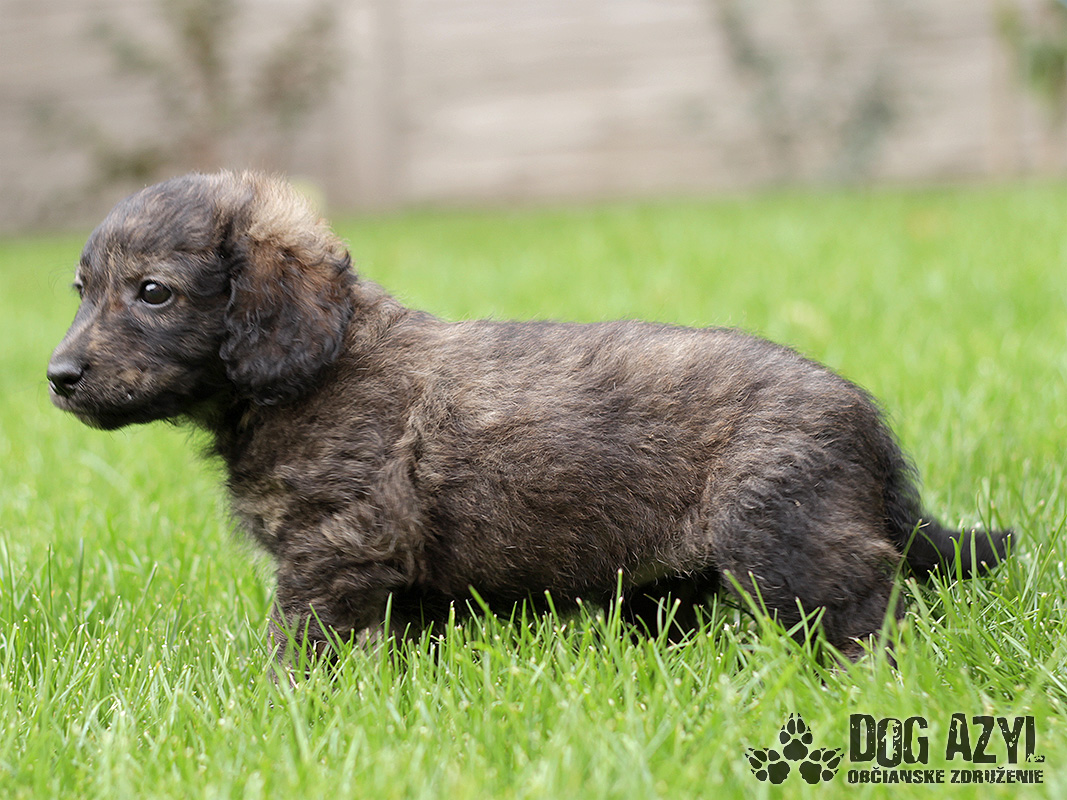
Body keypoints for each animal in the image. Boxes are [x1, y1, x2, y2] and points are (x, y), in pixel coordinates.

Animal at [48, 171, 1009, 660]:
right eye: (83, 290)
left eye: (153, 292)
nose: (57, 377)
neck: (316, 368)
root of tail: (866, 423)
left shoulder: (333, 548)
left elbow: (303, 639)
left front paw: (288, 703)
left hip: (783, 539)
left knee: (860, 602)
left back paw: (860, 678)